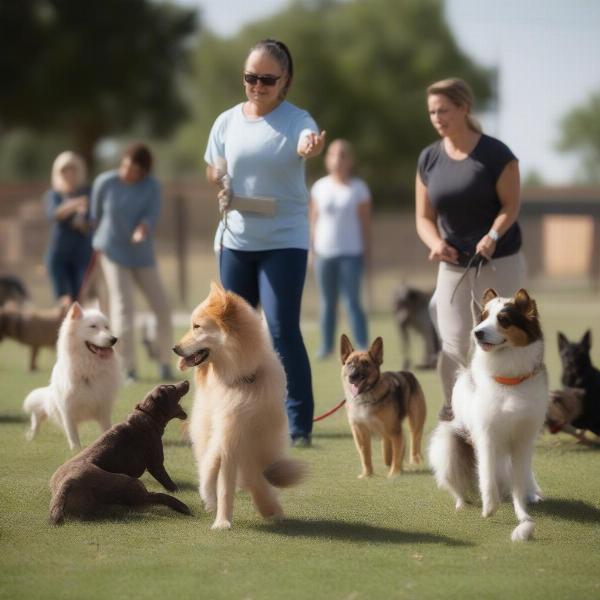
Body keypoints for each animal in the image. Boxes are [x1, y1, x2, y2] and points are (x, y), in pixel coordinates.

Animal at [22, 302, 121, 448]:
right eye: (93, 326)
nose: (114, 339)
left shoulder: (104, 409)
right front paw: (76, 450)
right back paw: (31, 436)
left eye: (107, 327)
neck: (88, 369)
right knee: (37, 418)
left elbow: (106, 430)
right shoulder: (67, 412)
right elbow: (73, 438)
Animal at [49, 382, 191, 524]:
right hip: (131, 482)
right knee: (153, 498)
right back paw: (182, 506)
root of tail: (67, 483)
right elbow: (170, 484)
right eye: (172, 387)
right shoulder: (156, 464)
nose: (186, 381)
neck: (148, 415)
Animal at [172, 282, 304, 528]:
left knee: (254, 477)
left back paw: (269, 507)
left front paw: (222, 519)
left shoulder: (236, 430)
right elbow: (216, 475)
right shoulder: (224, 430)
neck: (238, 381)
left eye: (197, 326)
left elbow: (225, 476)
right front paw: (220, 518)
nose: (174, 348)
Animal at [426, 288, 548, 540]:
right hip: (449, 446)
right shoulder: (486, 436)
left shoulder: (523, 440)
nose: (477, 332)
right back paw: (462, 503)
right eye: (482, 318)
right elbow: (486, 475)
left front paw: (523, 515)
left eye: (504, 319)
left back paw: (532, 494)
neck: (509, 380)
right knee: (459, 485)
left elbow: (519, 484)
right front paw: (489, 508)